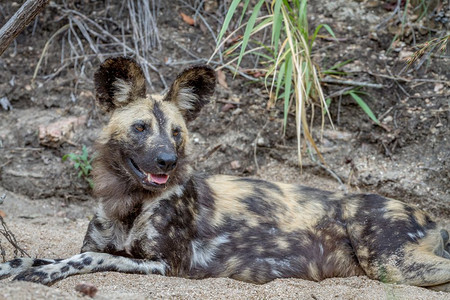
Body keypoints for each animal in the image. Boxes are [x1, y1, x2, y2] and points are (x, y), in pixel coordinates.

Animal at [0, 56, 450, 290]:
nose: (167, 161)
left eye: (176, 132)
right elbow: (37, 254)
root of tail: (428, 216)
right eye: (141, 128)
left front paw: (47, 273)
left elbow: (86, 257)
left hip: (390, 265)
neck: (127, 203)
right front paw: (15, 268)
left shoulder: (168, 265)